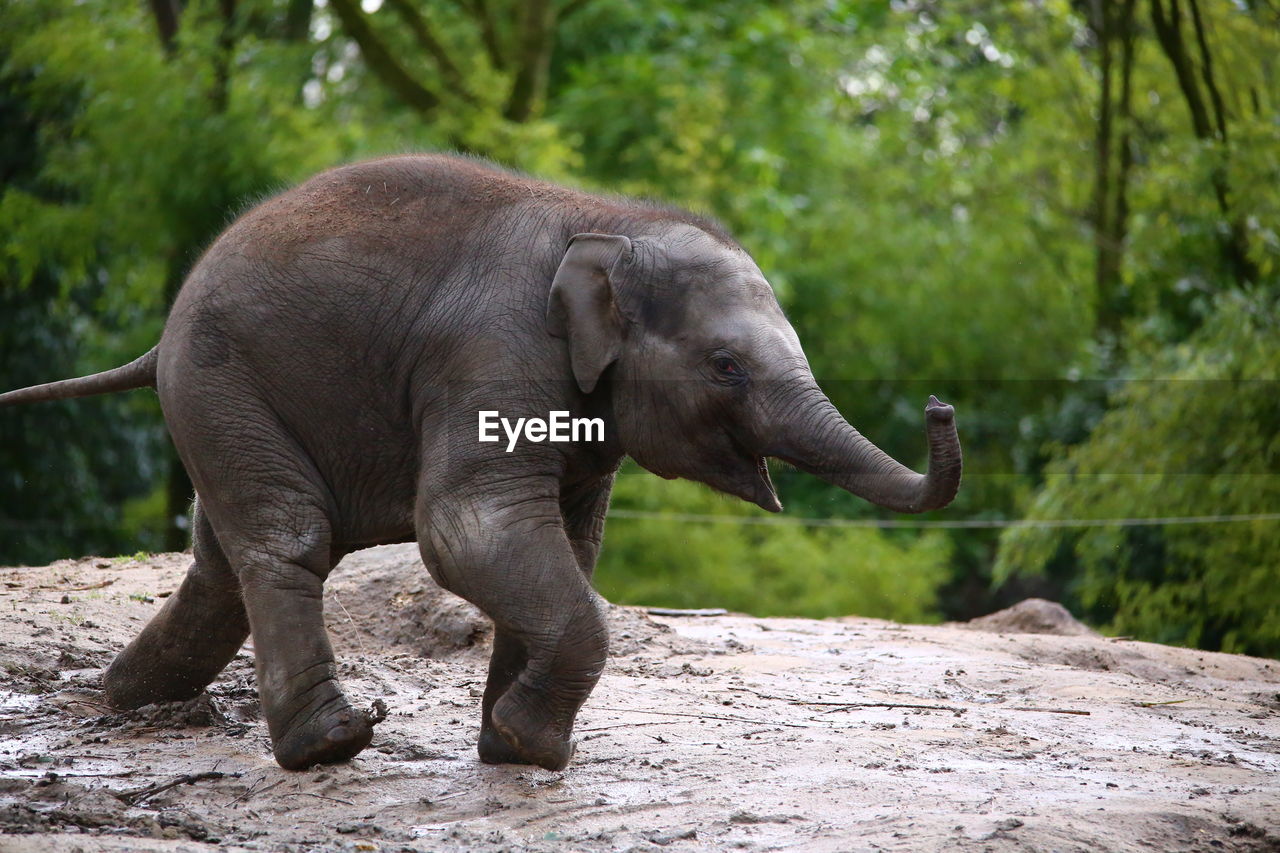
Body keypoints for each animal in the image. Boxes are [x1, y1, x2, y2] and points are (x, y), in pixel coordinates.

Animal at [0, 154, 962, 768]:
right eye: (726, 366)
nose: (940, 405)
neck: (609, 223)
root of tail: (161, 333)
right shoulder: (497, 351)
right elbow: (471, 531)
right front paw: (534, 746)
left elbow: (565, 546)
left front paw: (512, 748)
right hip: (220, 379)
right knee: (287, 535)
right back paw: (330, 746)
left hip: (224, 399)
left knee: (221, 559)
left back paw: (123, 698)